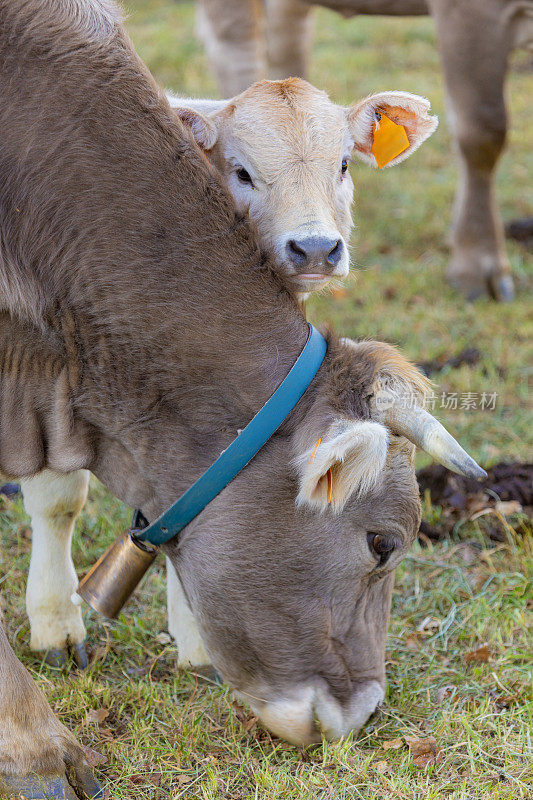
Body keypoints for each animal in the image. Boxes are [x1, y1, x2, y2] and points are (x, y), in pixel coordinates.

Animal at [195, 0, 532, 302]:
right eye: (242, 173)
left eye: (344, 165)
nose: (316, 249)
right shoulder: (468, 14)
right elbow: (482, 132)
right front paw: (478, 263)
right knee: (236, 50)